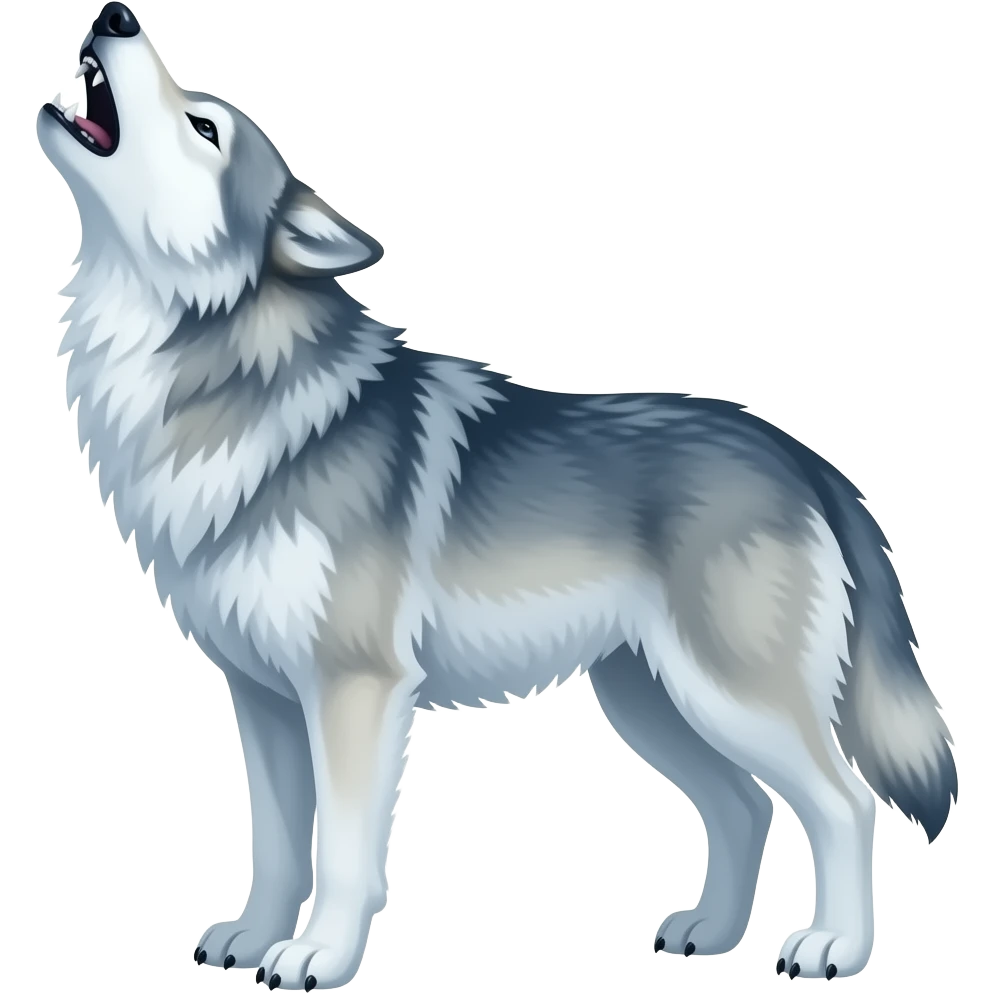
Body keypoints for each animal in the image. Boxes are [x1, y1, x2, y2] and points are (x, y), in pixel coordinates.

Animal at [36, 3, 957, 989]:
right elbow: (278, 844)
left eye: (204, 127)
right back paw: (711, 932)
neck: (207, 368)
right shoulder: (265, 699)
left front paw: (318, 957)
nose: (114, 16)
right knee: (745, 807)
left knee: (843, 803)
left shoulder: (355, 687)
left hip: (728, 698)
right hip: (651, 701)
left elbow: (341, 852)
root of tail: (803, 458)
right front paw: (252, 937)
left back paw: (835, 947)